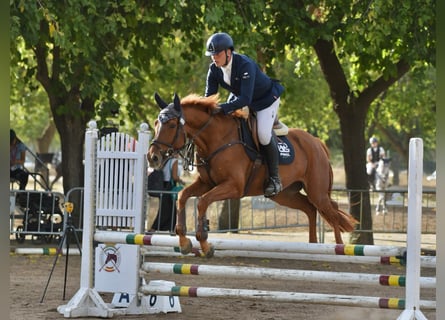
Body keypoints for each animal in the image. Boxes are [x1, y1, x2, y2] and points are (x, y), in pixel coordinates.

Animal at [147, 92, 356, 258]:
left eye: (171, 125)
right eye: (156, 123)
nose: (153, 157)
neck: (216, 139)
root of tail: (317, 143)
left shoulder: (233, 187)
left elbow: (202, 202)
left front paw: (205, 244)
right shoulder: (206, 182)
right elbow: (183, 196)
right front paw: (184, 242)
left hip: (316, 192)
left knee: (332, 212)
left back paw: (339, 249)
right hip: (285, 194)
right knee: (311, 209)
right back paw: (313, 247)